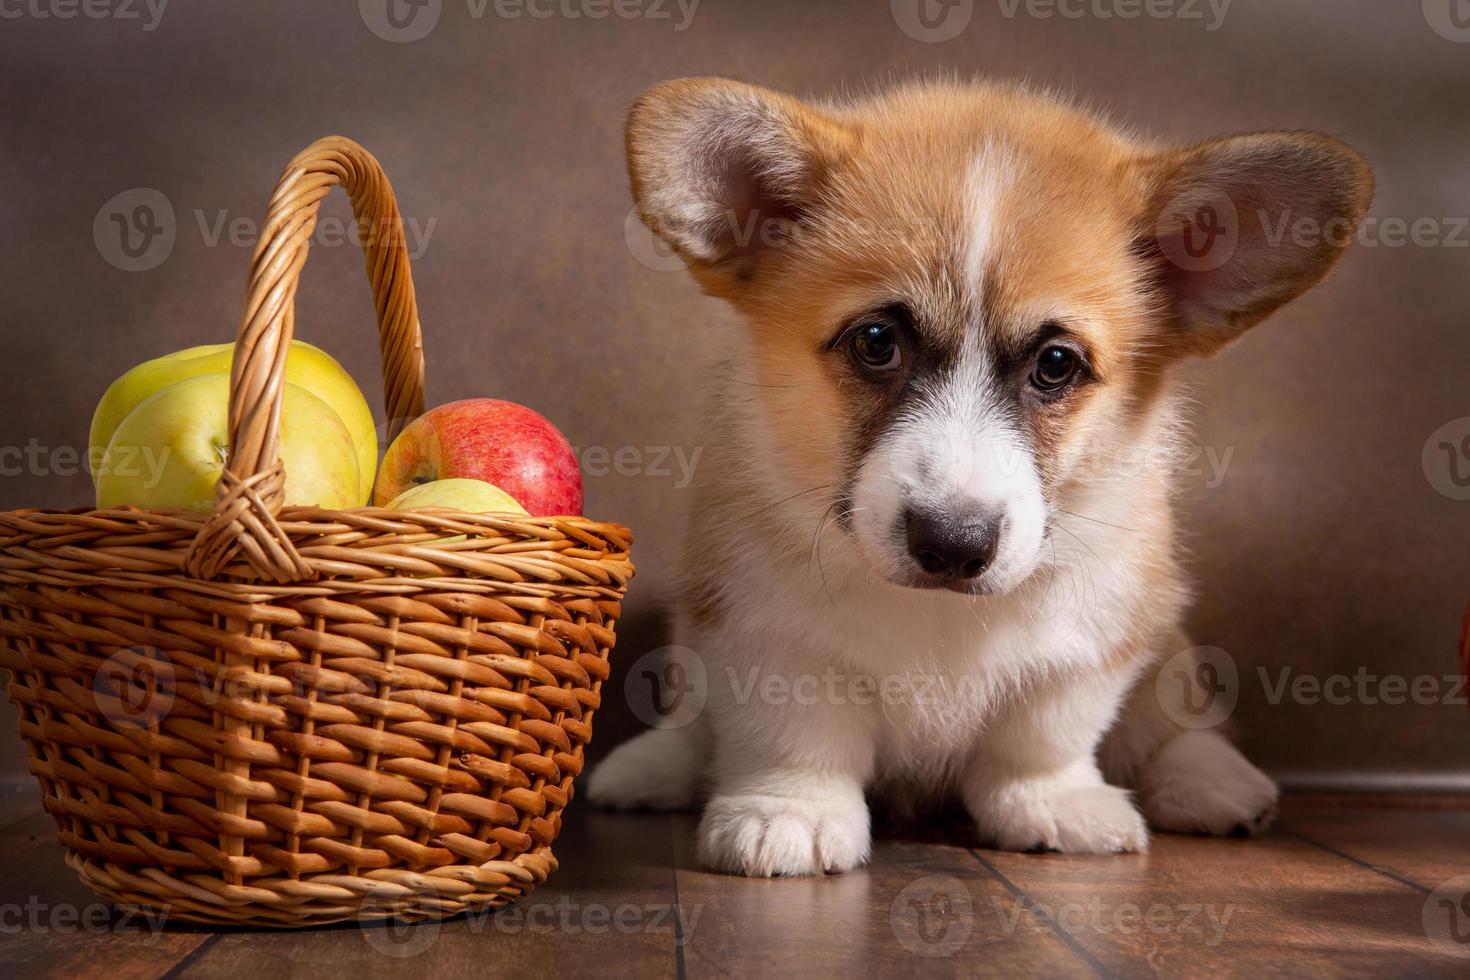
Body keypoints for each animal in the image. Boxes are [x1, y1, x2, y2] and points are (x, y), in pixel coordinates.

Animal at [590, 74, 1370, 875]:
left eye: (1056, 364)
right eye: (877, 341)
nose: (952, 544)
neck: (941, 613)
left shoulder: (1093, 638)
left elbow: (1045, 733)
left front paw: (1053, 803)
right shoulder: (758, 625)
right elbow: (795, 731)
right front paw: (789, 812)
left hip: (1169, 649)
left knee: (1171, 721)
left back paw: (1216, 783)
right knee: (693, 722)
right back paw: (652, 769)